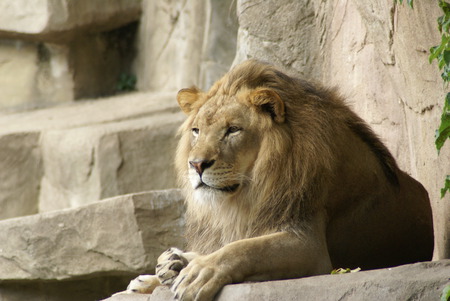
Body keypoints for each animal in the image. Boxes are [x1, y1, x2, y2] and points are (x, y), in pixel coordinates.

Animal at [125, 59, 434, 300]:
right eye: (197, 131)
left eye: (233, 130)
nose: (197, 164)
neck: (250, 191)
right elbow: (232, 244)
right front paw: (166, 267)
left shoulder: (309, 245)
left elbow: (245, 248)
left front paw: (197, 274)